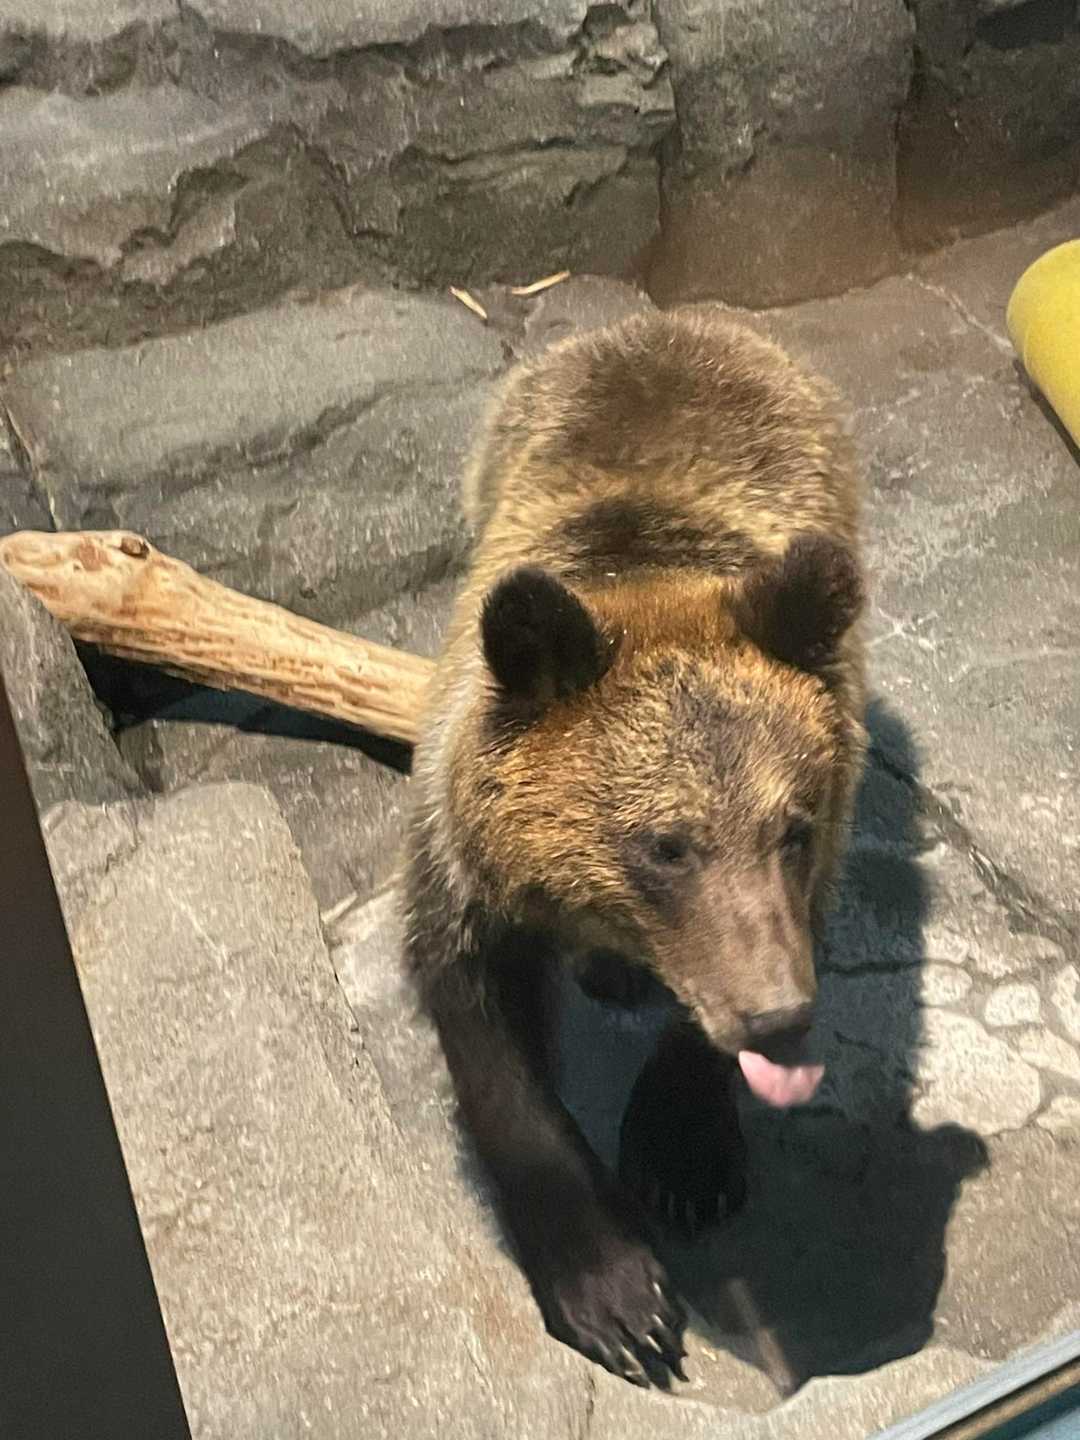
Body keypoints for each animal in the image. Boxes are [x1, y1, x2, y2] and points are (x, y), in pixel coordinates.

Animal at [402, 306, 866, 1387]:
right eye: (666, 845)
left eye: (792, 827)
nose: (779, 1015)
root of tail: (666, 320)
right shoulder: (460, 865)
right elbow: (488, 1047)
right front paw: (617, 1299)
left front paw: (684, 1156)